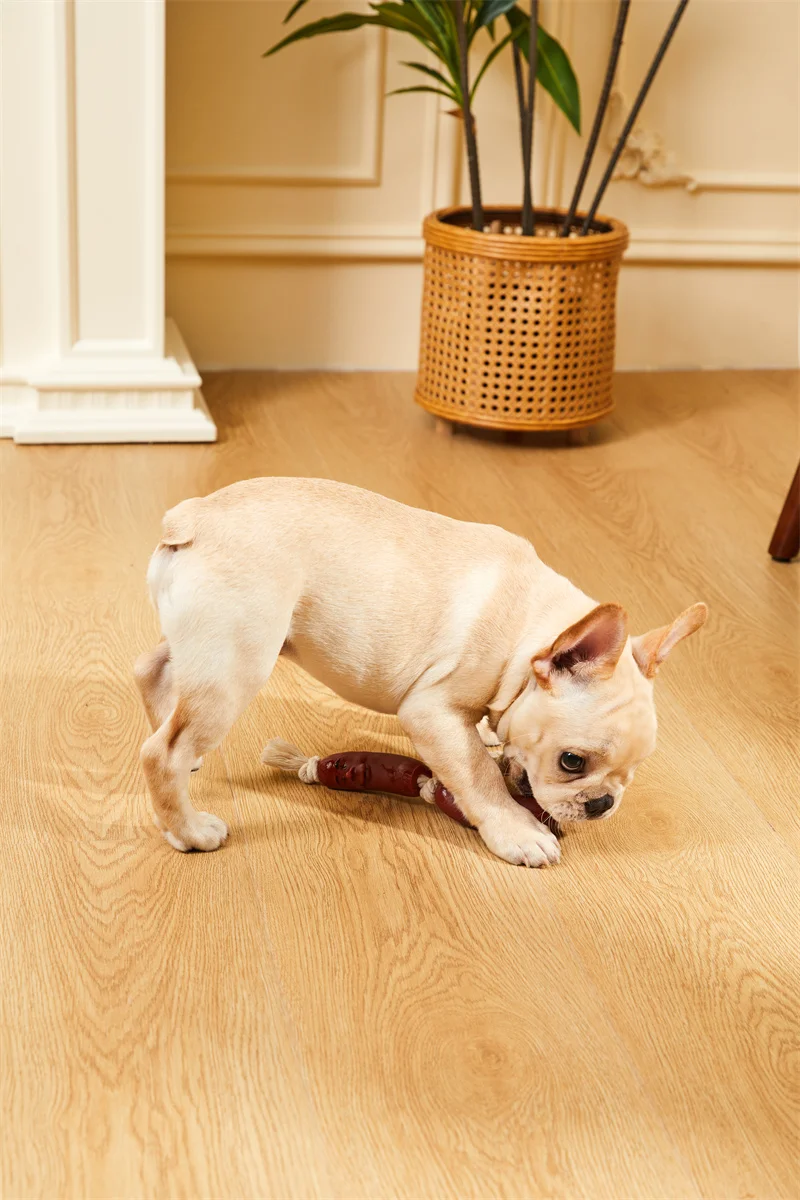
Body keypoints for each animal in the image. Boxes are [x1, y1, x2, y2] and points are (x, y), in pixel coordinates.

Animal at [135, 478, 706, 867]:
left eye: (634, 770)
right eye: (572, 762)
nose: (603, 804)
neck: (530, 633)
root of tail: (196, 515)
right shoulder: (431, 712)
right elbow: (477, 775)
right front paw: (517, 831)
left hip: (204, 646)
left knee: (151, 670)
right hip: (239, 662)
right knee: (161, 751)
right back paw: (188, 831)